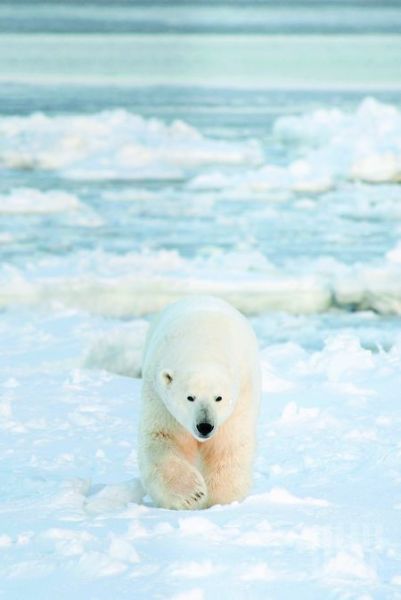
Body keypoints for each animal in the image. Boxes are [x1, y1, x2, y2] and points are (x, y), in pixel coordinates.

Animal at [139, 296, 260, 510]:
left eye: (218, 397)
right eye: (190, 397)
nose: (205, 426)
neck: (203, 347)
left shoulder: (242, 394)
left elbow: (229, 444)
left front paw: (219, 500)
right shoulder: (159, 397)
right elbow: (162, 438)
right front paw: (193, 495)